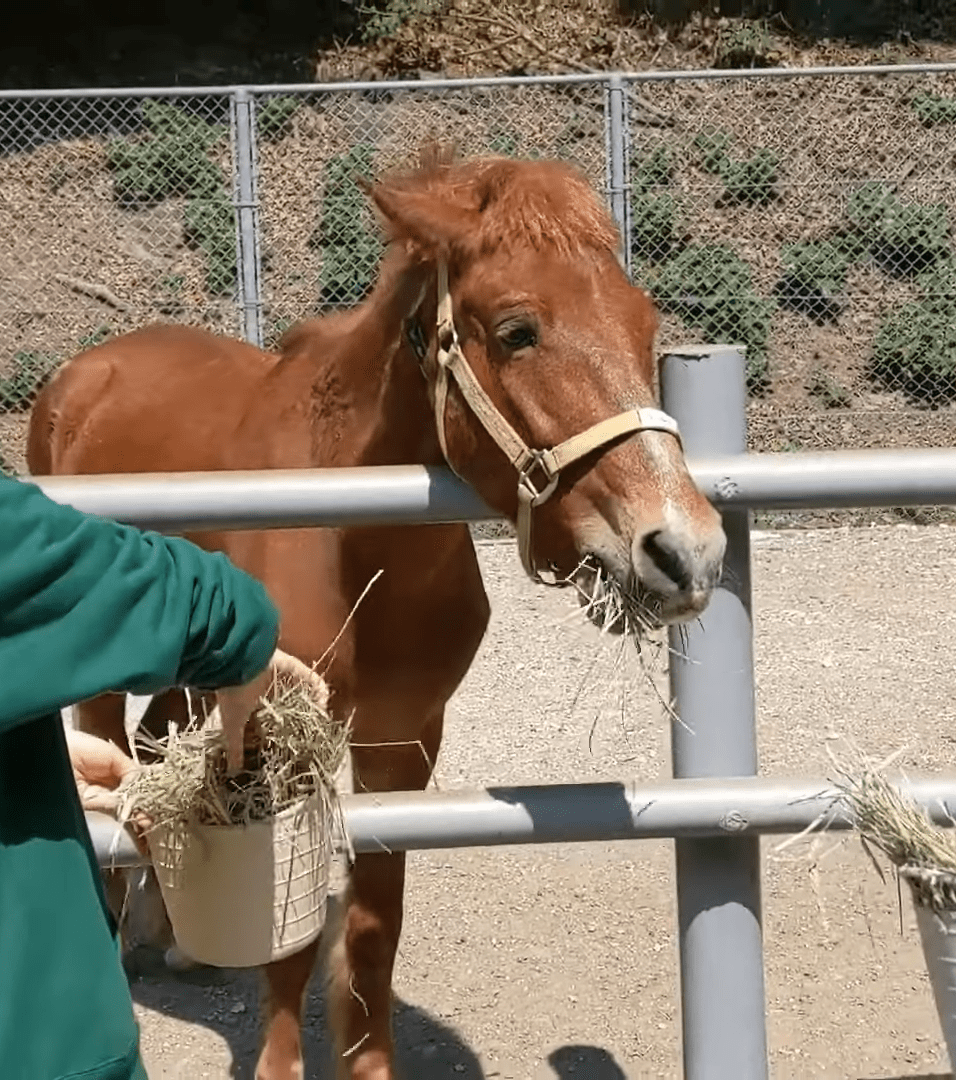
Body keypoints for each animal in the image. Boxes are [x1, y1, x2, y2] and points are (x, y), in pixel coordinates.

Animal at [27, 150, 721, 1080]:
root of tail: (85, 371)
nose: (683, 549)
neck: (353, 539)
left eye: (646, 324)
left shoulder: (402, 740)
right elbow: (290, 941)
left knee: (151, 743)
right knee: (107, 750)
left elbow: (372, 928)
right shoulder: (285, 739)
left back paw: (169, 935)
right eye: (517, 331)